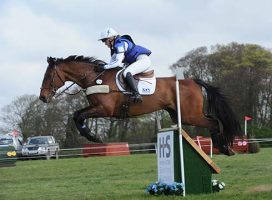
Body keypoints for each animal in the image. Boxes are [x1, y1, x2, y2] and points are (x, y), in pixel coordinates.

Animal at [39, 55, 241, 155]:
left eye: (48, 76)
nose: (42, 98)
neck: (95, 78)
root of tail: (193, 81)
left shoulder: (104, 109)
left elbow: (79, 115)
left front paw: (94, 137)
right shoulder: (97, 109)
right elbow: (76, 115)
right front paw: (92, 136)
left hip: (190, 115)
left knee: (214, 122)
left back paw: (225, 148)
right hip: (180, 114)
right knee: (212, 120)